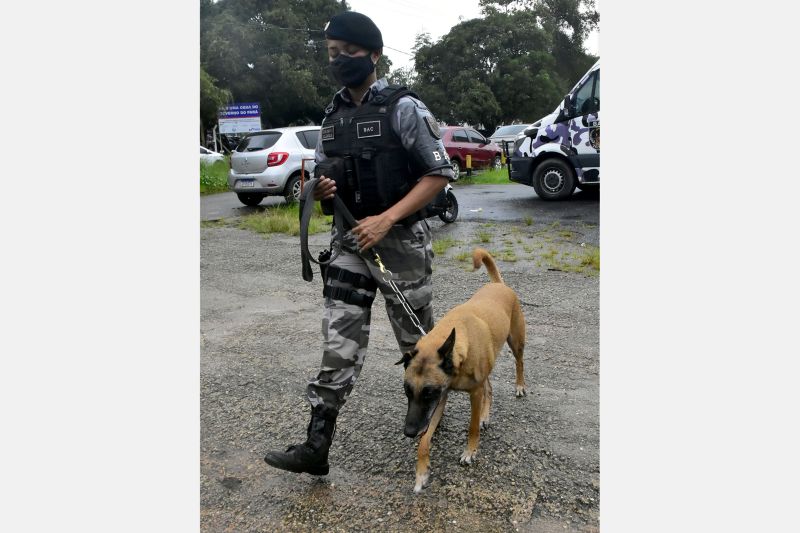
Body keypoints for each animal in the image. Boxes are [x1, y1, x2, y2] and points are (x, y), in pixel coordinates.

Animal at [394, 247, 524, 492]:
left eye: (428, 392)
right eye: (407, 391)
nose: (408, 432)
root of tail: (499, 285)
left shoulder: (470, 394)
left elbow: (471, 427)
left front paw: (470, 452)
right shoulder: (441, 398)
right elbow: (425, 440)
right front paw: (421, 472)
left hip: (516, 341)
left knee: (519, 363)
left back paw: (520, 386)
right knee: (489, 387)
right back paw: (486, 415)